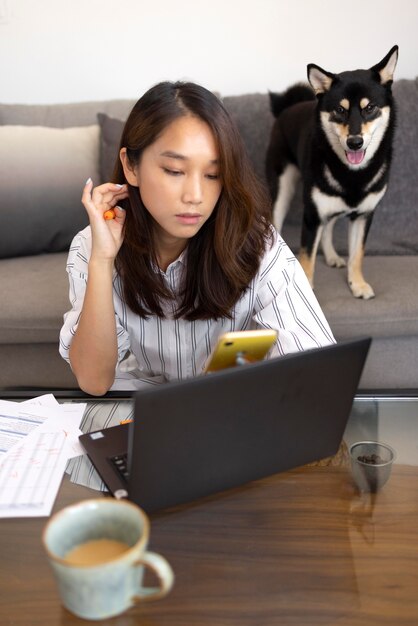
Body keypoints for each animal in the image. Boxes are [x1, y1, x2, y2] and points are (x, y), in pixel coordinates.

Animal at [266, 46, 400, 298]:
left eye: (370, 108)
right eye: (339, 109)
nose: (355, 142)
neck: (353, 173)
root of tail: (289, 107)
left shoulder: (364, 215)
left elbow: (357, 254)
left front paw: (357, 284)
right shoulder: (312, 215)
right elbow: (307, 258)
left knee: (329, 226)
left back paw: (331, 256)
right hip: (282, 188)